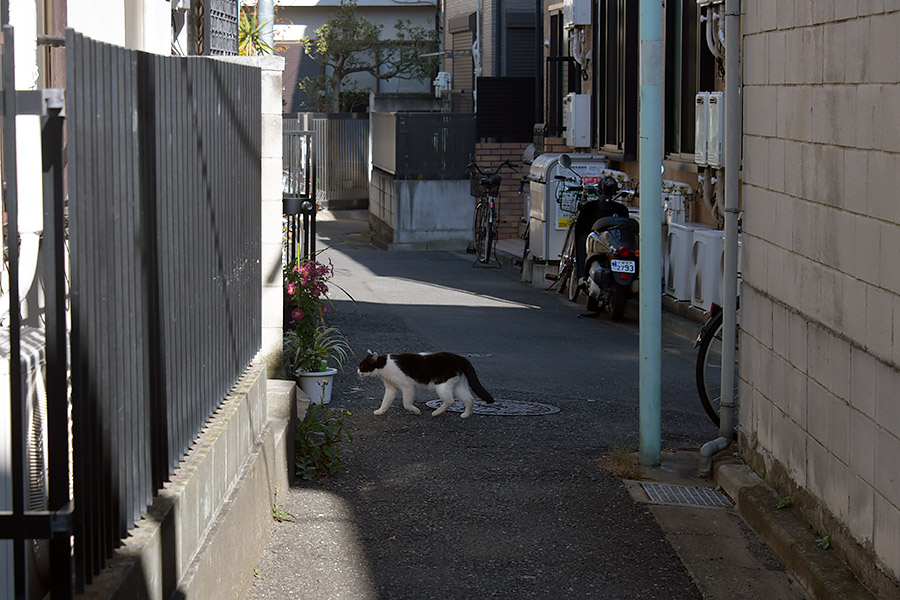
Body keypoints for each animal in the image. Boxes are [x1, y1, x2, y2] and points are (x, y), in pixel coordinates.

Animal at [356, 350, 496, 420]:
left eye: (362, 366)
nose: (356, 370)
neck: (384, 365)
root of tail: (459, 358)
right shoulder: (391, 388)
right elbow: (385, 401)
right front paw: (380, 412)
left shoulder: (407, 386)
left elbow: (406, 404)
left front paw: (416, 411)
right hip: (458, 386)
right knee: (470, 399)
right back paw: (466, 415)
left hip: (441, 385)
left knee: (450, 401)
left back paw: (436, 413)